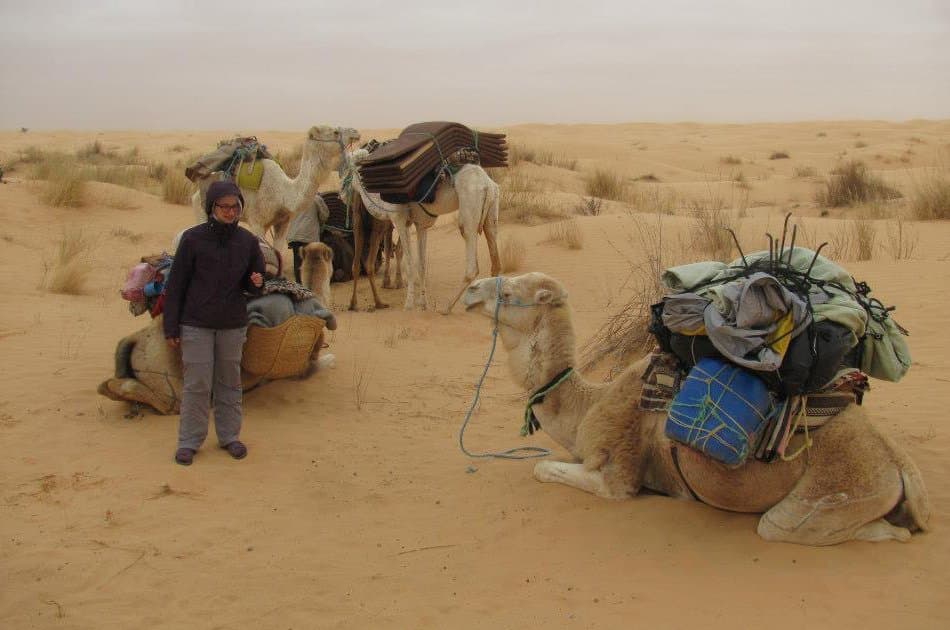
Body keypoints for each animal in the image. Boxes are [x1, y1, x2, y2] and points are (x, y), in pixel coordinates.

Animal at [191, 125, 360, 257]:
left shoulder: (282, 222)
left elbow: (278, 252)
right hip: (201, 209)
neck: (283, 193)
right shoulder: (257, 222)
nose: (356, 132)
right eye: (335, 132)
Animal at [346, 148, 500, 312]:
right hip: (492, 210)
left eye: (352, 168)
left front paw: (408, 304)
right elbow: (421, 264)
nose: (350, 187)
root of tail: (487, 184)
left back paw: (447, 308)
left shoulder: (399, 219)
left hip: (470, 205)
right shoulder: (421, 225)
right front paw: (423, 303)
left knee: (472, 264)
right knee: (495, 259)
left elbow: (409, 262)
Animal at [462, 272, 931, 545]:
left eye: (508, 291)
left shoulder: (618, 471)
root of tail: (900, 466)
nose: (469, 289)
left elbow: (543, 468)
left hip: (834, 494)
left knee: (803, 526)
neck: (587, 403)